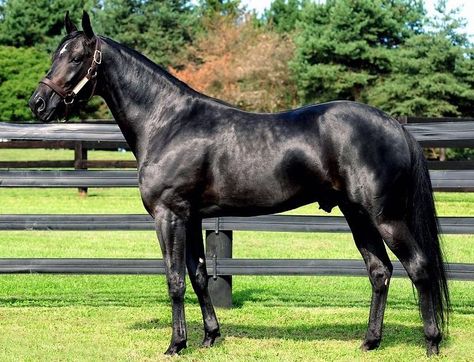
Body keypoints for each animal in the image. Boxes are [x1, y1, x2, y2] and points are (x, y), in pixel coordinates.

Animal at [27, 11, 450, 356]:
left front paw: (176, 344)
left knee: (419, 267)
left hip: (385, 217)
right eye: (55, 55)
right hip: (357, 215)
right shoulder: (192, 217)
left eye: (76, 57)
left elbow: (174, 279)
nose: (38, 103)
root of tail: (394, 125)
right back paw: (370, 341)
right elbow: (198, 276)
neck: (167, 122)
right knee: (380, 272)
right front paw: (209, 337)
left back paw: (431, 342)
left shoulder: (169, 215)